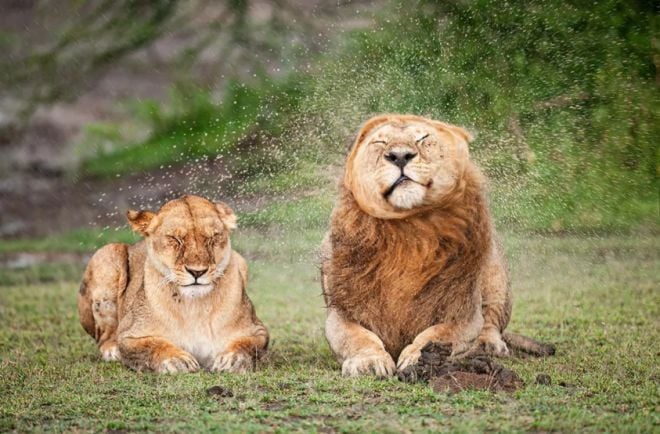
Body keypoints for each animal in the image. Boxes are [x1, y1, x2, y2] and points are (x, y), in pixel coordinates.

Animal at [78, 194, 269, 373]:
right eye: (175, 239)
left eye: (213, 238)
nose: (197, 272)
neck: (195, 306)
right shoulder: (129, 335)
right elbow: (153, 345)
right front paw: (177, 360)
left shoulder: (258, 330)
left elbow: (248, 345)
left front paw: (232, 359)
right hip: (107, 253)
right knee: (104, 336)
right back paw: (112, 351)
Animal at [321, 114, 543, 378]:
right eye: (380, 142)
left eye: (422, 138)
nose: (400, 156)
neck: (407, 234)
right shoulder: (340, 312)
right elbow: (358, 337)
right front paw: (369, 361)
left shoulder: (465, 314)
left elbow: (436, 335)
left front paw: (419, 359)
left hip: (495, 275)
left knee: (491, 320)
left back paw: (488, 345)